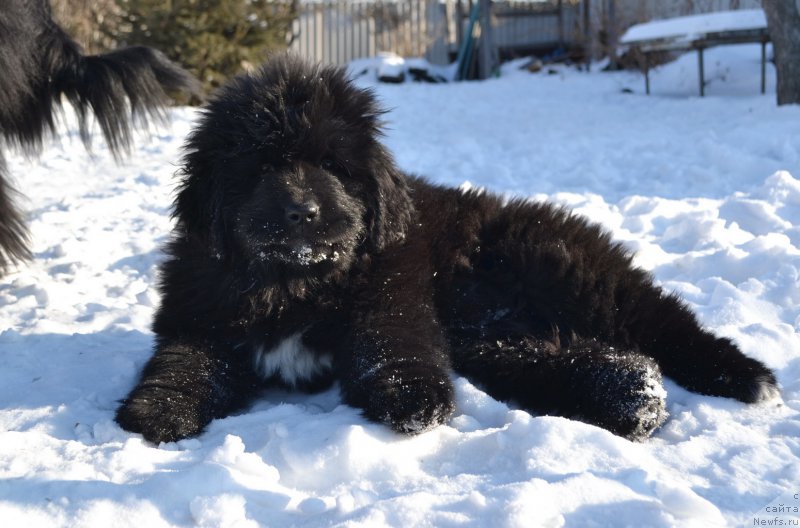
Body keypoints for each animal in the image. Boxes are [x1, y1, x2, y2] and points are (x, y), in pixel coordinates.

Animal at [115, 53, 780, 444]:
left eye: (334, 167)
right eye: (260, 168)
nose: (302, 212)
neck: (295, 282)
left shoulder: (392, 287)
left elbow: (392, 340)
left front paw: (413, 398)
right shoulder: (199, 312)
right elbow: (185, 360)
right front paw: (159, 409)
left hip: (576, 278)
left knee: (665, 324)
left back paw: (743, 376)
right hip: (489, 338)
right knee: (566, 358)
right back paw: (633, 396)